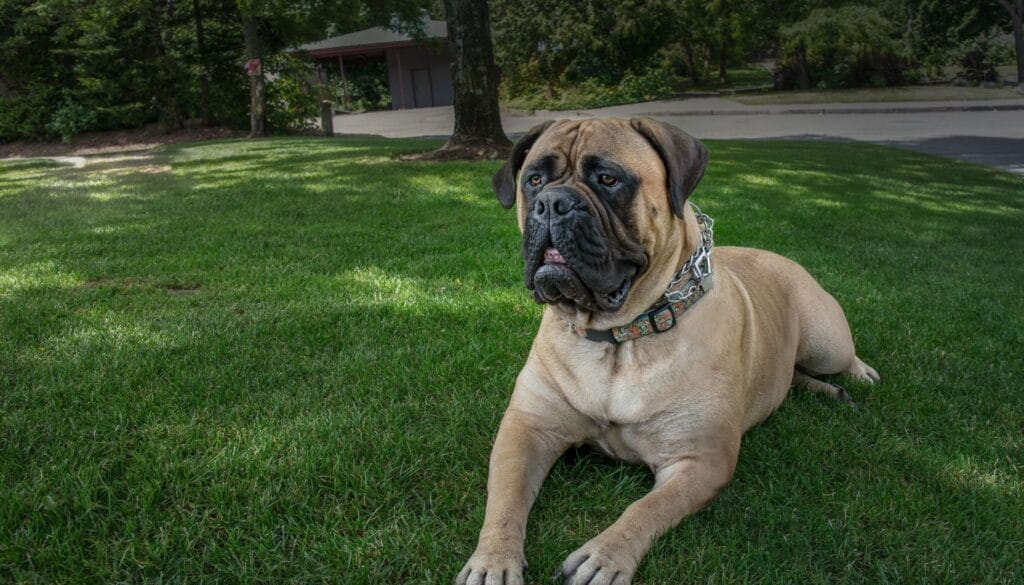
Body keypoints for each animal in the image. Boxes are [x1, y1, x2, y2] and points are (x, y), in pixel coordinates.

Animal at [456, 118, 880, 585]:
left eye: (608, 179)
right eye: (534, 181)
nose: (552, 202)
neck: (619, 337)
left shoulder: (699, 461)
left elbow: (646, 508)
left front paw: (604, 555)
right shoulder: (526, 430)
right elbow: (505, 500)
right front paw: (493, 559)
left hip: (826, 342)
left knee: (835, 359)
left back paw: (858, 375)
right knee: (793, 376)